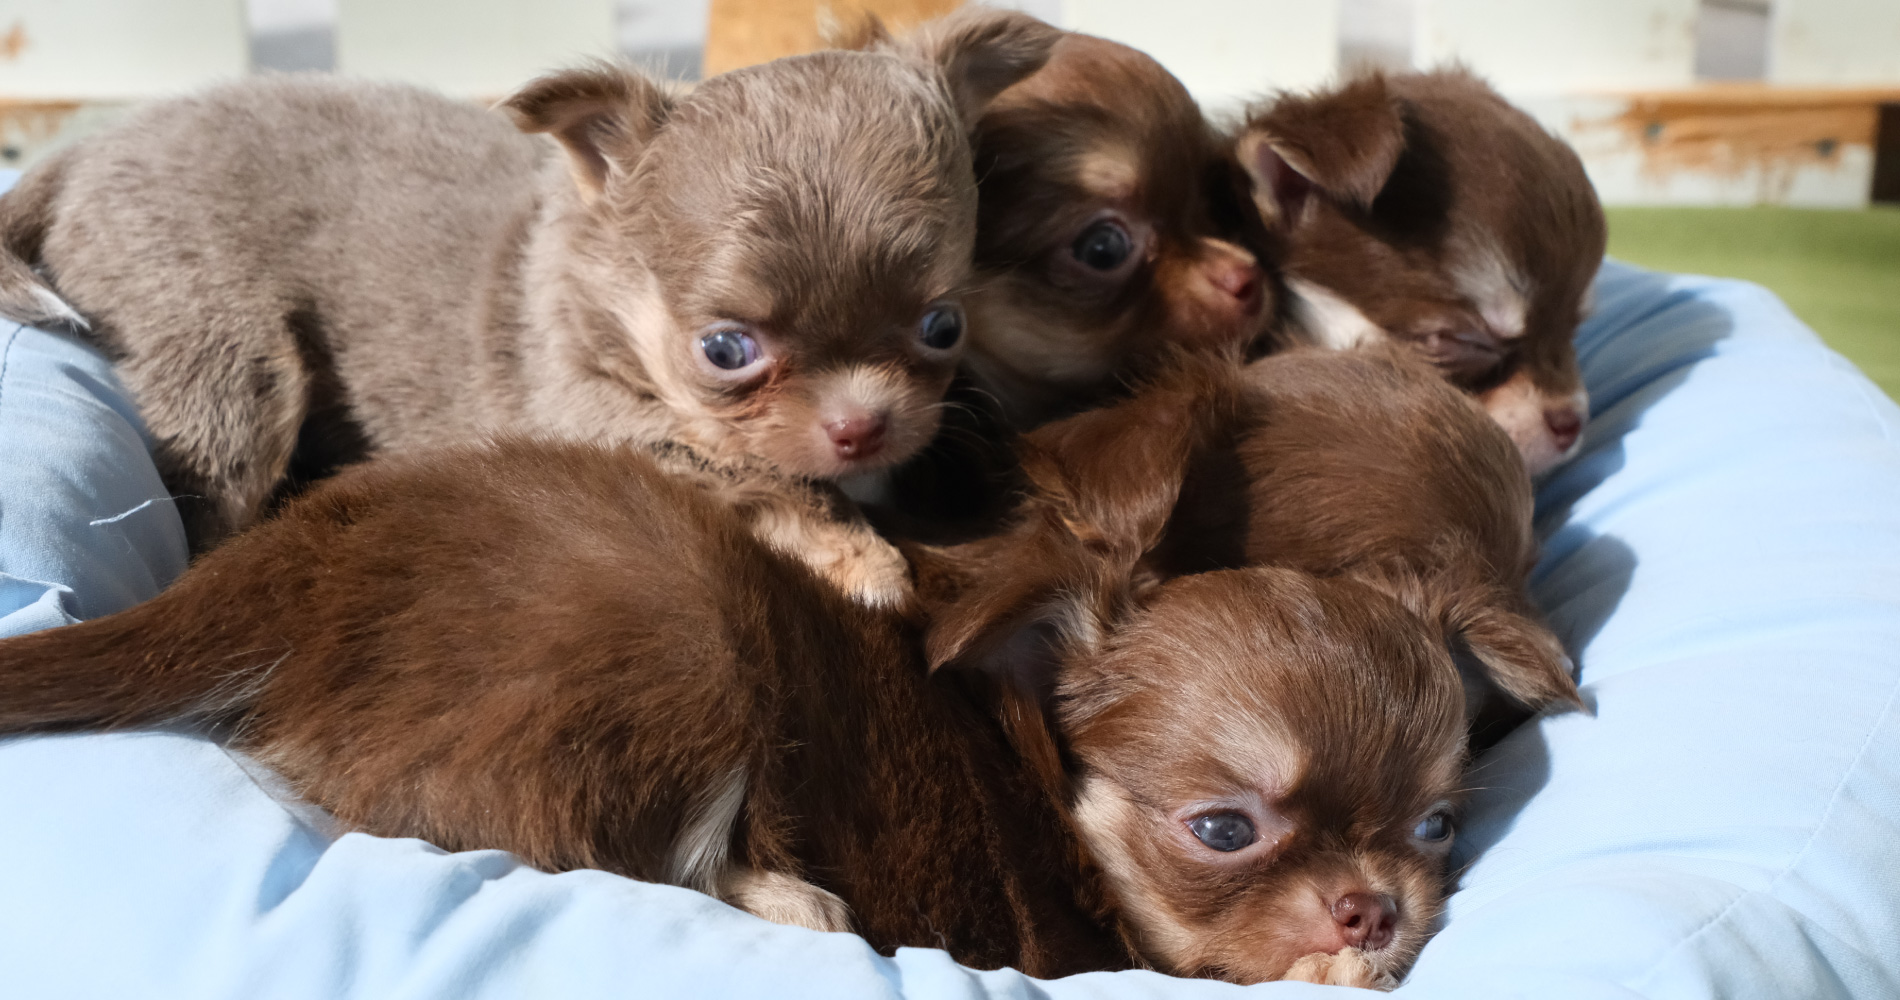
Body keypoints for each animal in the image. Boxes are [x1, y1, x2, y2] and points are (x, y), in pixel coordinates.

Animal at [0, 9, 1059, 587]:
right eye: (724, 351)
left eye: (944, 325)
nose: (862, 425)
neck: (599, 284)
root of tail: (83, 154)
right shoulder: (597, 418)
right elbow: (749, 473)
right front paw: (861, 557)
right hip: (235, 372)